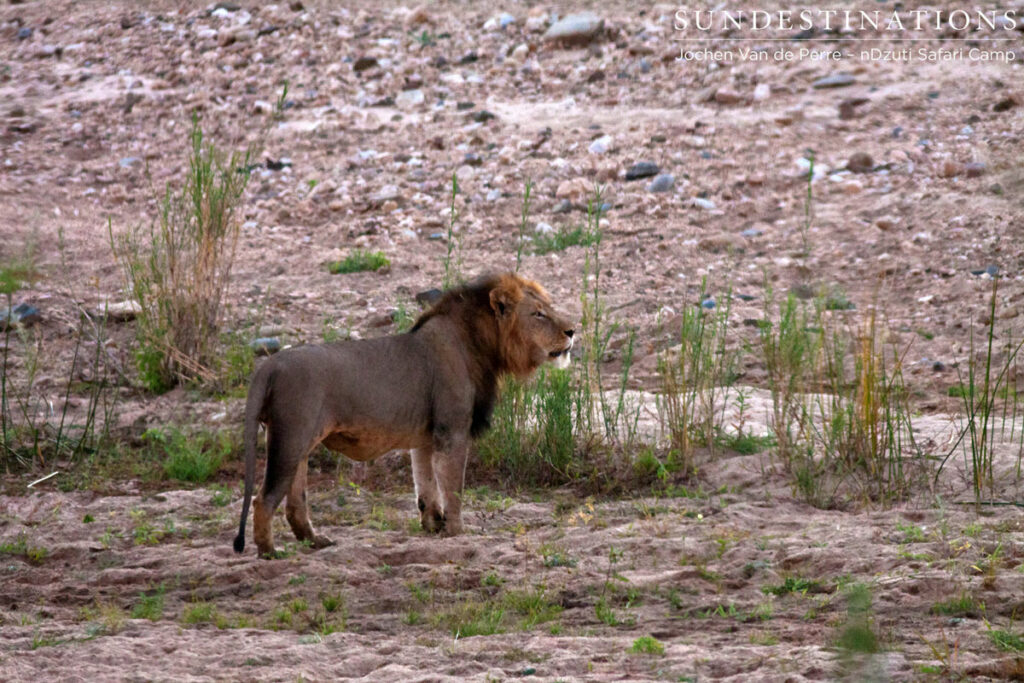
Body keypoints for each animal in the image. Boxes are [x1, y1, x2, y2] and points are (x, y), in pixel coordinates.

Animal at [233, 273, 575, 557]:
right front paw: (457, 531)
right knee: (263, 500)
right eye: (538, 314)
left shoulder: (425, 437)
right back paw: (269, 552)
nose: (573, 331)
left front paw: (434, 524)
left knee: (294, 502)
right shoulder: (452, 430)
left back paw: (316, 541)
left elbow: (425, 483)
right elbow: (453, 486)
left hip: (299, 444)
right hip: (291, 437)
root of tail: (268, 365)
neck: (480, 345)